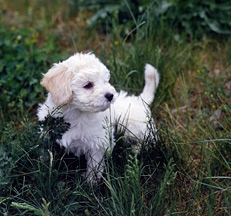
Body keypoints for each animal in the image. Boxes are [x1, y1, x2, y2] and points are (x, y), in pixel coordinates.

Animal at [38, 52, 160, 182]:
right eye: (88, 85)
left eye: (105, 81)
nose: (110, 95)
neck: (76, 114)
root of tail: (139, 100)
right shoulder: (48, 133)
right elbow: (47, 152)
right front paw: (43, 167)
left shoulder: (97, 142)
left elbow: (94, 164)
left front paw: (91, 181)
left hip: (136, 128)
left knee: (149, 141)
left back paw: (135, 150)